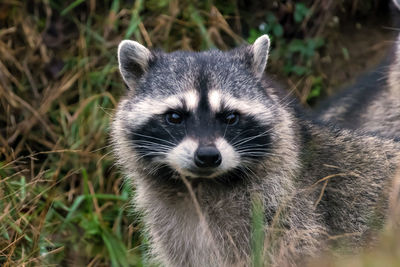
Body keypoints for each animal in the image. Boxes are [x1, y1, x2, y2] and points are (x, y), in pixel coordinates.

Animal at [111, 34, 400, 266]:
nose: (207, 157)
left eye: (230, 117)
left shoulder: (289, 216)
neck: (203, 185)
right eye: (175, 117)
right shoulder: (179, 234)